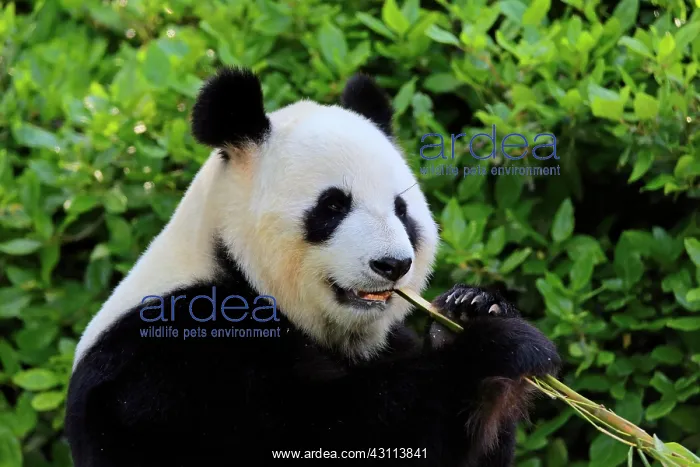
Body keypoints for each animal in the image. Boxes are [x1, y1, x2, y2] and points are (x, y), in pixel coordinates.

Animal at [65, 67, 560, 467]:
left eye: (401, 210)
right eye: (333, 206)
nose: (393, 264)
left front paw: (471, 308)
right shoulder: (173, 362)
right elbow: (321, 432)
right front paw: (493, 347)